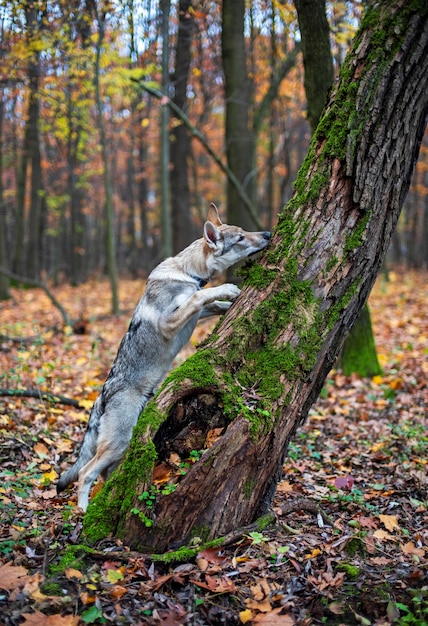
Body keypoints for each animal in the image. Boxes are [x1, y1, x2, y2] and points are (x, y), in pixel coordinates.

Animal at [56, 205, 270, 508]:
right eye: (240, 237)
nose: (268, 233)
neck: (188, 273)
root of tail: (102, 395)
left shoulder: (194, 314)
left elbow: (210, 303)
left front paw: (228, 303)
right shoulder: (170, 321)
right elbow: (202, 295)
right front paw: (228, 289)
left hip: (119, 448)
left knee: (103, 475)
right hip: (118, 443)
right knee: (86, 473)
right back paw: (85, 510)